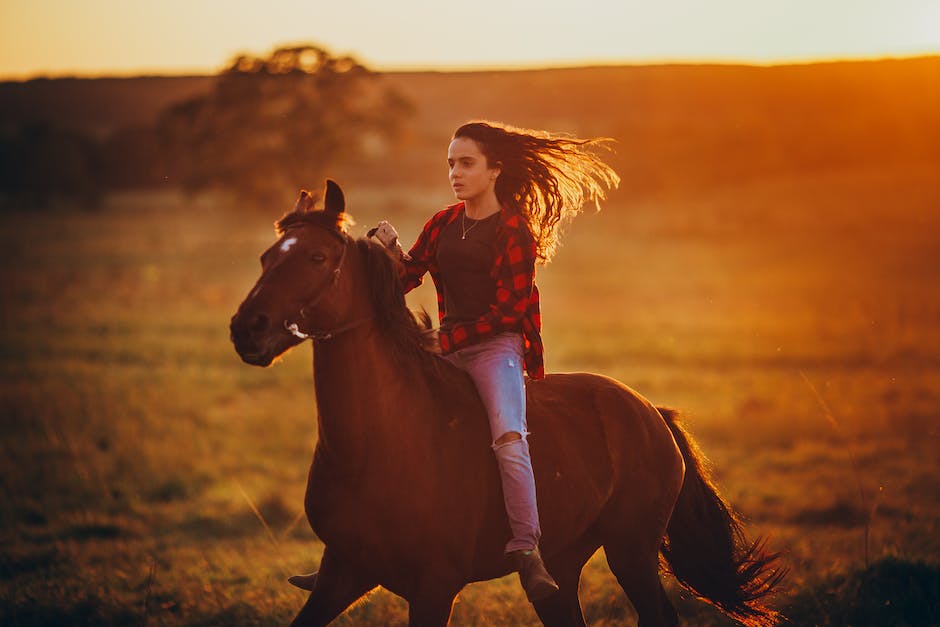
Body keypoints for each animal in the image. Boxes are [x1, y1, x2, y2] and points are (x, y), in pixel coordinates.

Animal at [231, 179, 784, 624]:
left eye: (317, 258)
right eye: (265, 257)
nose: (246, 329)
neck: (376, 445)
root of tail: (652, 414)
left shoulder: (435, 586)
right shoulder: (342, 571)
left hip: (632, 551)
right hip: (564, 564)